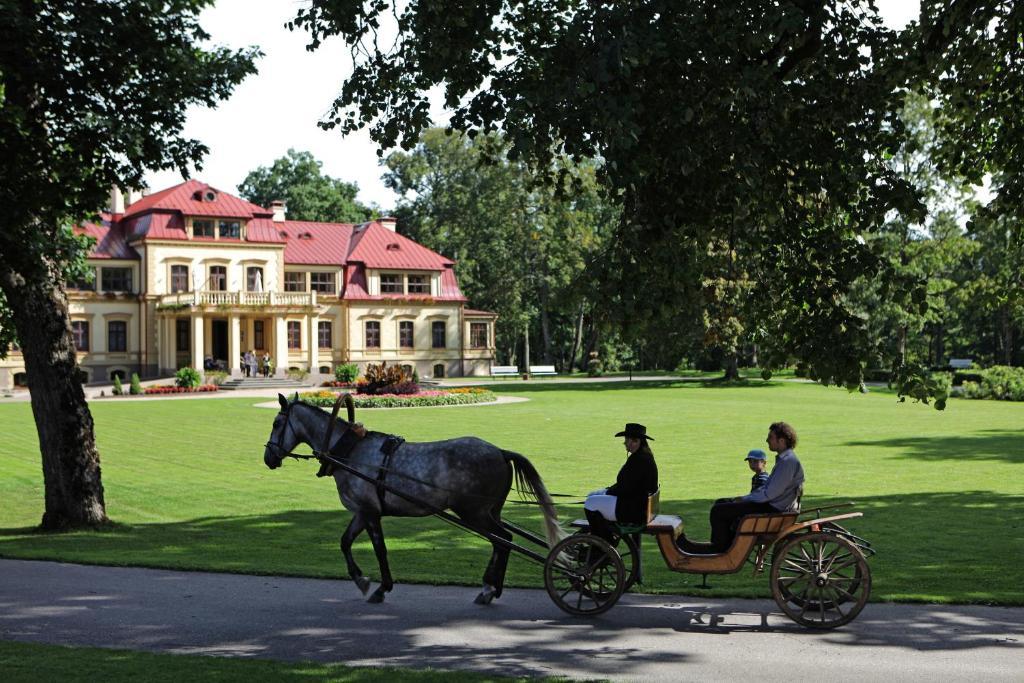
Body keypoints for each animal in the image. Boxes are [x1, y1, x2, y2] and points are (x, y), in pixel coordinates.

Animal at [260, 395, 565, 602]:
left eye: (276, 423)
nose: (268, 457)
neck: (350, 451)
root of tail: (501, 452)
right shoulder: (362, 512)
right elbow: (345, 542)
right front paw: (361, 579)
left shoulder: (370, 512)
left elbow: (380, 549)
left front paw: (380, 586)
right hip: (489, 512)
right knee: (501, 542)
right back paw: (490, 587)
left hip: (474, 512)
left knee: (503, 540)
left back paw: (491, 588)